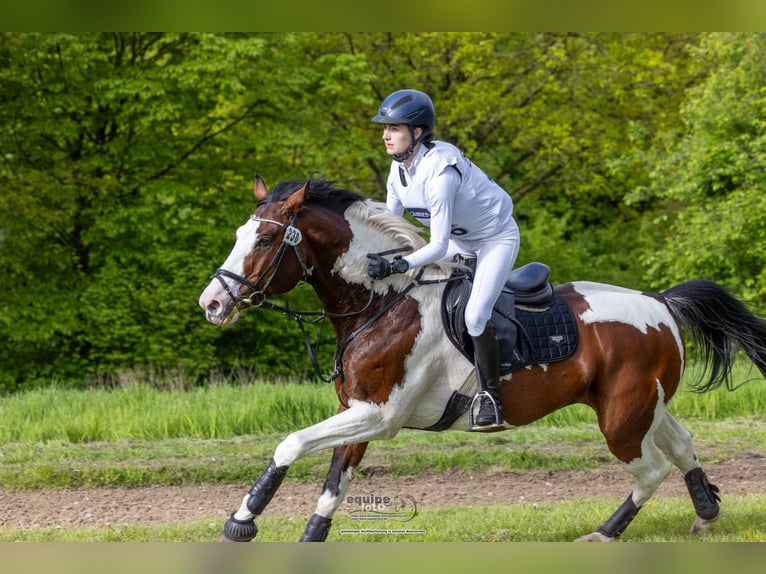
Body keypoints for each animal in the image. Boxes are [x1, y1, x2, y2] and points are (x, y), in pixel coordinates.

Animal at [198, 176, 766, 544]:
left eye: (265, 238)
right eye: (238, 236)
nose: (212, 304)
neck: (382, 301)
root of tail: (661, 302)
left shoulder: (378, 417)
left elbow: (291, 444)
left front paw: (242, 521)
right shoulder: (358, 413)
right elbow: (333, 483)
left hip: (621, 416)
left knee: (650, 470)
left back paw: (604, 534)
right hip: (646, 404)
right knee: (682, 445)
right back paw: (706, 512)